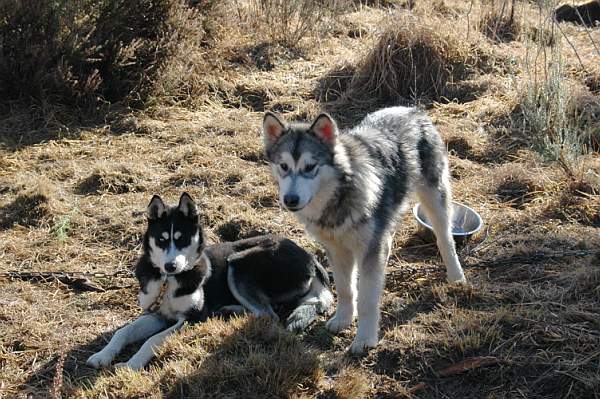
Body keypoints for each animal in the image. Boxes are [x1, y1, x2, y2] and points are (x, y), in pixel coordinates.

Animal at [86, 194, 332, 372]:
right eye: (162, 240)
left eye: (183, 239)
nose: (170, 266)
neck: (170, 281)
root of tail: (310, 256)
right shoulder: (156, 314)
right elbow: (124, 331)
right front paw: (102, 356)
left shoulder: (192, 318)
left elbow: (153, 340)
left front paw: (131, 365)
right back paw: (228, 310)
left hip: (239, 262)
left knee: (268, 315)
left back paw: (228, 312)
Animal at [262, 105, 464, 354]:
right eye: (283, 167)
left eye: (310, 167)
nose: (290, 199)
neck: (339, 198)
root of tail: (412, 110)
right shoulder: (337, 251)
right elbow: (346, 289)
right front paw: (343, 319)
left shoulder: (369, 252)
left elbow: (368, 300)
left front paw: (364, 339)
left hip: (435, 199)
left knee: (445, 239)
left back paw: (456, 276)